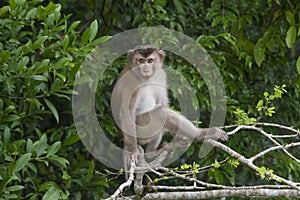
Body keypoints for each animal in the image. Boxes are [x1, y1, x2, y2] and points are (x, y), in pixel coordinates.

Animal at [111, 45, 229, 175]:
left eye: (150, 61)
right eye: (141, 61)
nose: (146, 68)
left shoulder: (161, 75)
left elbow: (162, 102)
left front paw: (179, 137)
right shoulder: (131, 81)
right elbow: (127, 112)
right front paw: (131, 150)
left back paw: (153, 151)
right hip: (140, 129)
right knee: (161, 113)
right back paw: (201, 134)